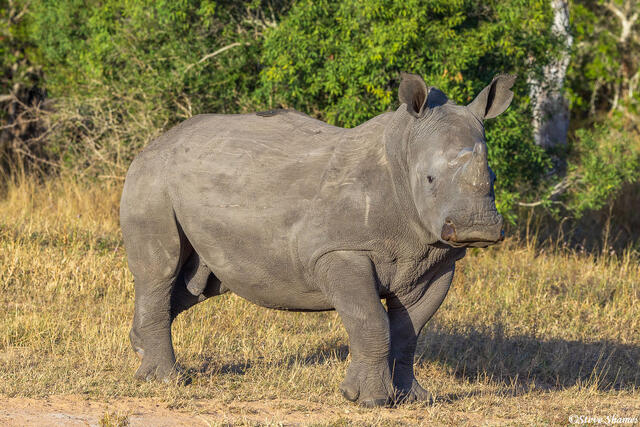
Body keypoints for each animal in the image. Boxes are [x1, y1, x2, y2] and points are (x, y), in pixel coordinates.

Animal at [120, 73, 515, 407]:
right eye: (430, 179)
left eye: (494, 178)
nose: (478, 227)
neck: (402, 157)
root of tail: (154, 143)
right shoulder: (338, 250)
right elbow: (370, 320)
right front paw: (368, 400)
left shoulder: (436, 260)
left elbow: (409, 331)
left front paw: (414, 398)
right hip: (152, 178)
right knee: (161, 272)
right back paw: (166, 380)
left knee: (195, 284)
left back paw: (140, 350)